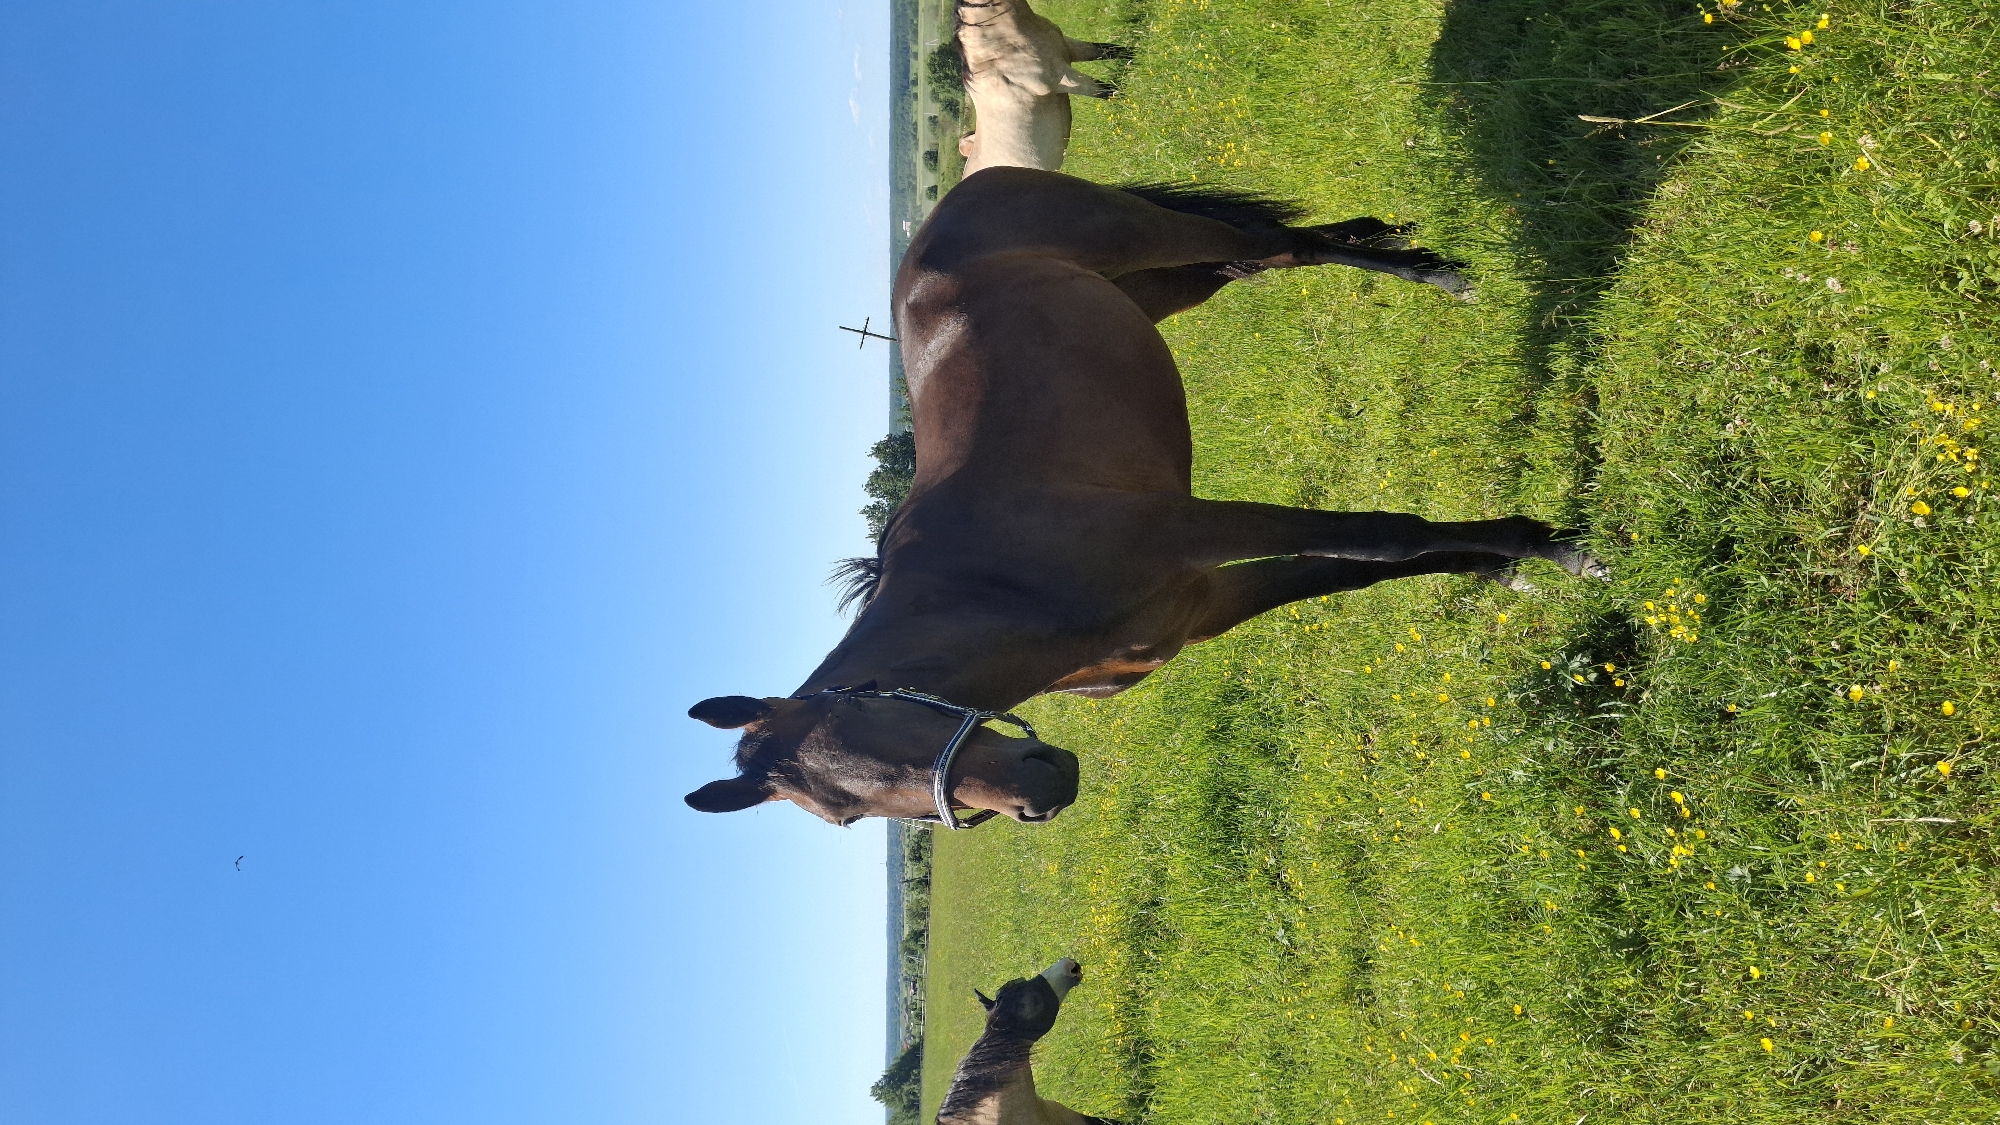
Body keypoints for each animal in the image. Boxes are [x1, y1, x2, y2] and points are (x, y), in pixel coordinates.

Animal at [684, 167, 1598, 826]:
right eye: (848, 814)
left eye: (870, 722)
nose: (1040, 794)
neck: (1001, 588)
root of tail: (957, 198)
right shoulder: (1205, 606)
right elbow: (1357, 569)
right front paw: (1493, 565)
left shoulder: (1191, 531)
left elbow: (1380, 535)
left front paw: (1550, 546)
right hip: (1167, 283)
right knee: (1265, 254)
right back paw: (1397, 247)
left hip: (1153, 237)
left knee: (1275, 247)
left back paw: (1434, 276)